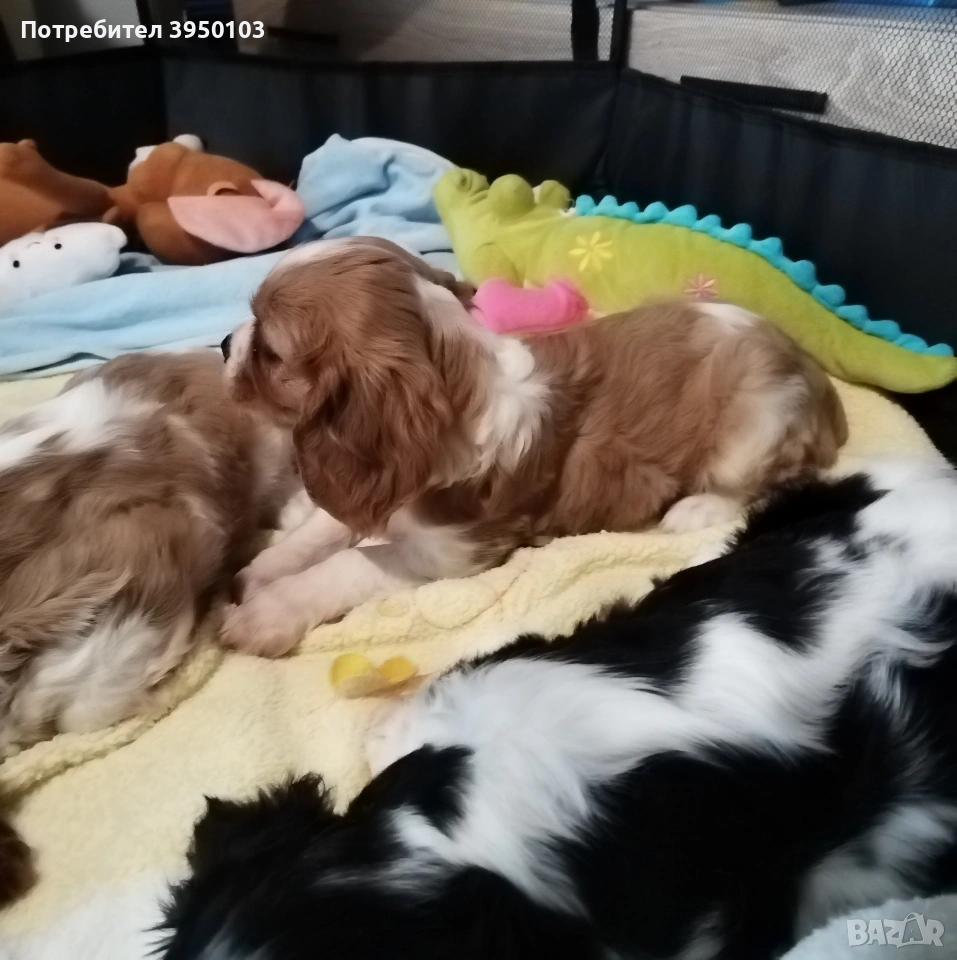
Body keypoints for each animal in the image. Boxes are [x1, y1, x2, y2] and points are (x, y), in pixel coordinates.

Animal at [218, 237, 847, 655]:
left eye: (270, 352)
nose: (223, 343)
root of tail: (817, 376)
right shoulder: (376, 489)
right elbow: (325, 527)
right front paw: (266, 567)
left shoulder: (454, 555)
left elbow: (351, 562)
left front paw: (267, 612)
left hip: (756, 424)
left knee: (764, 482)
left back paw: (695, 509)